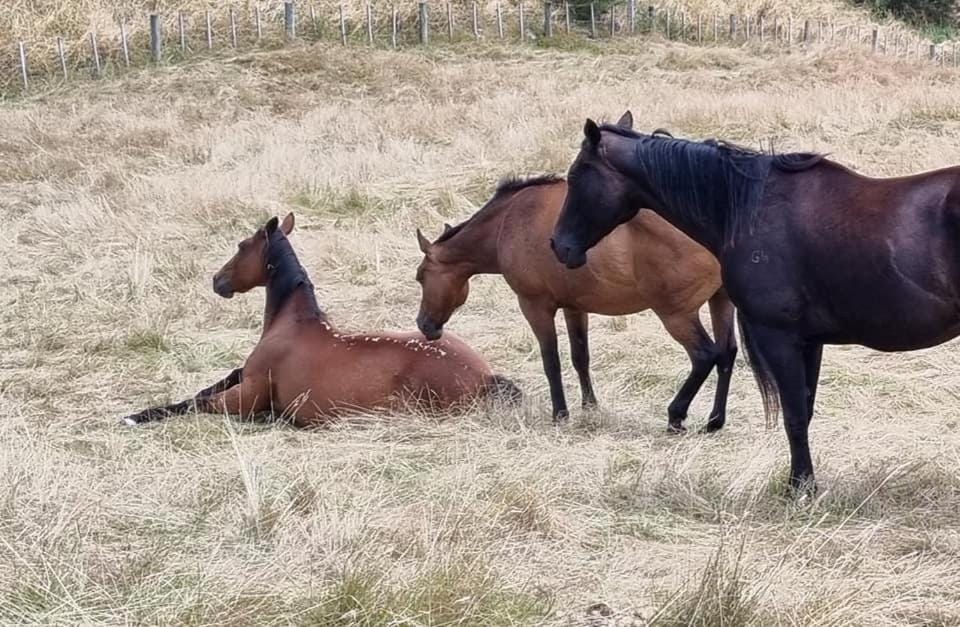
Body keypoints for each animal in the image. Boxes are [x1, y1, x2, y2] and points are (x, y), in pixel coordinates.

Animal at [123, 213, 521, 427]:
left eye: (241, 246)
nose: (217, 281)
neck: (291, 323)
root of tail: (485, 376)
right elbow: (206, 389)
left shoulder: (245, 398)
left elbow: (195, 403)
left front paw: (135, 416)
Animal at [415, 113, 737, 432]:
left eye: (420, 277)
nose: (424, 325)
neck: (508, 221)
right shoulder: (575, 307)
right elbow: (580, 356)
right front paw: (589, 406)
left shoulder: (535, 306)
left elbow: (551, 361)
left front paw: (560, 413)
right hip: (721, 301)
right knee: (727, 353)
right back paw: (715, 420)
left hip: (675, 313)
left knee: (705, 356)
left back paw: (676, 415)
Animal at [551, 112, 960, 493]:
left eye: (576, 176)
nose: (559, 246)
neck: (748, 212)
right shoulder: (809, 341)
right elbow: (805, 409)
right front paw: (801, 482)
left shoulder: (777, 336)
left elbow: (794, 415)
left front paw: (800, 489)